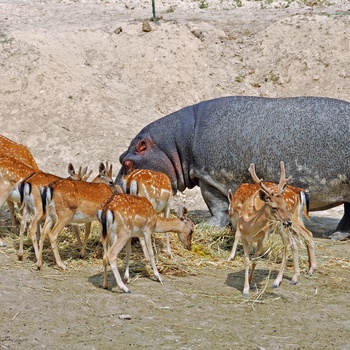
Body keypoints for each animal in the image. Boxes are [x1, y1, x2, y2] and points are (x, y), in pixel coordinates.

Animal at [237, 163, 304, 296]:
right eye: (274, 207)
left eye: (284, 206)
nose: (288, 221)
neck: (249, 226)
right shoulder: (243, 237)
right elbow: (247, 260)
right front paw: (246, 287)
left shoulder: (262, 238)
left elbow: (255, 260)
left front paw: (249, 285)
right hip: (282, 227)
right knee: (293, 243)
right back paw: (294, 278)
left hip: (282, 227)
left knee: (287, 245)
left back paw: (277, 281)